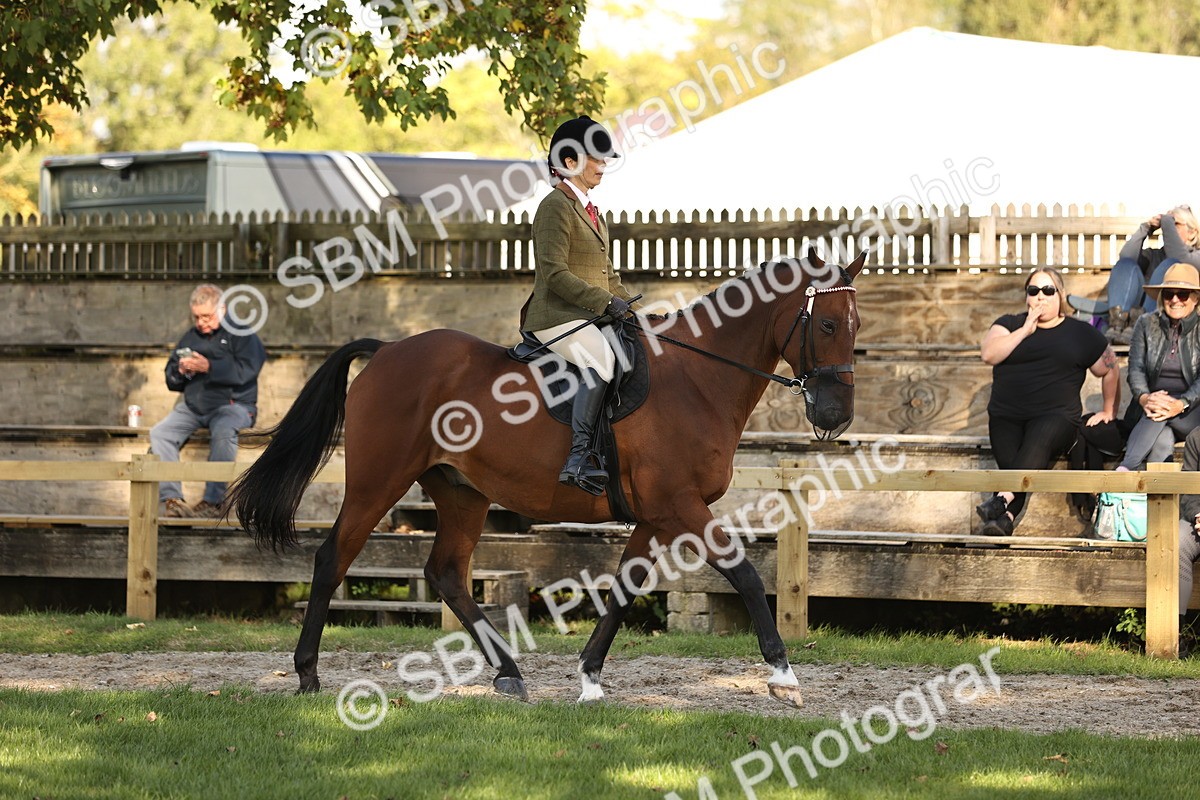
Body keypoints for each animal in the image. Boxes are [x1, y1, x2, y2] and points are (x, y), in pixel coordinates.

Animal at [227, 249, 864, 705]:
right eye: (829, 324)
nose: (837, 416)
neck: (697, 378)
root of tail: (386, 351)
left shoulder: (656, 515)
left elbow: (624, 589)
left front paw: (589, 678)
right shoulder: (679, 505)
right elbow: (746, 575)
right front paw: (782, 674)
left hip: (461, 492)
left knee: (447, 573)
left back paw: (509, 673)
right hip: (376, 483)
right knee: (333, 557)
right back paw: (308, 675)